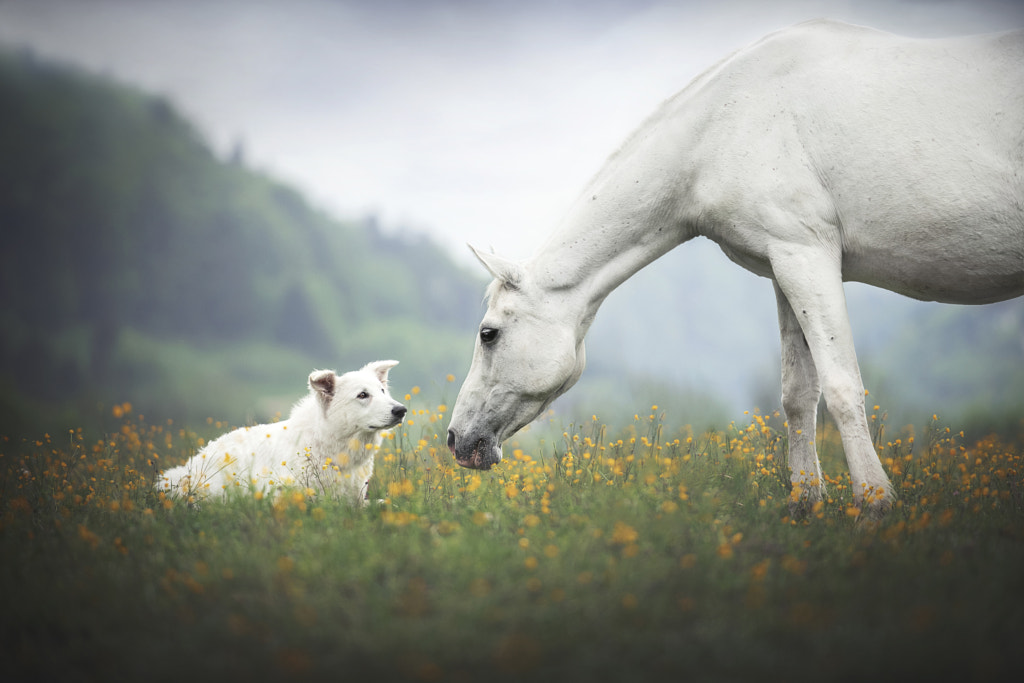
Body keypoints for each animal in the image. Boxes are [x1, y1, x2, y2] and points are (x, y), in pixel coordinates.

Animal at [448, 18, 1024, 516]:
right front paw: (805, 504)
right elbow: (798, 395)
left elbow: (841, 387)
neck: (720, 127)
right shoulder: (785, 266)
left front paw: (876, 506)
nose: (456, 439)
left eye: (488, 333)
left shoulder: (807, 255)